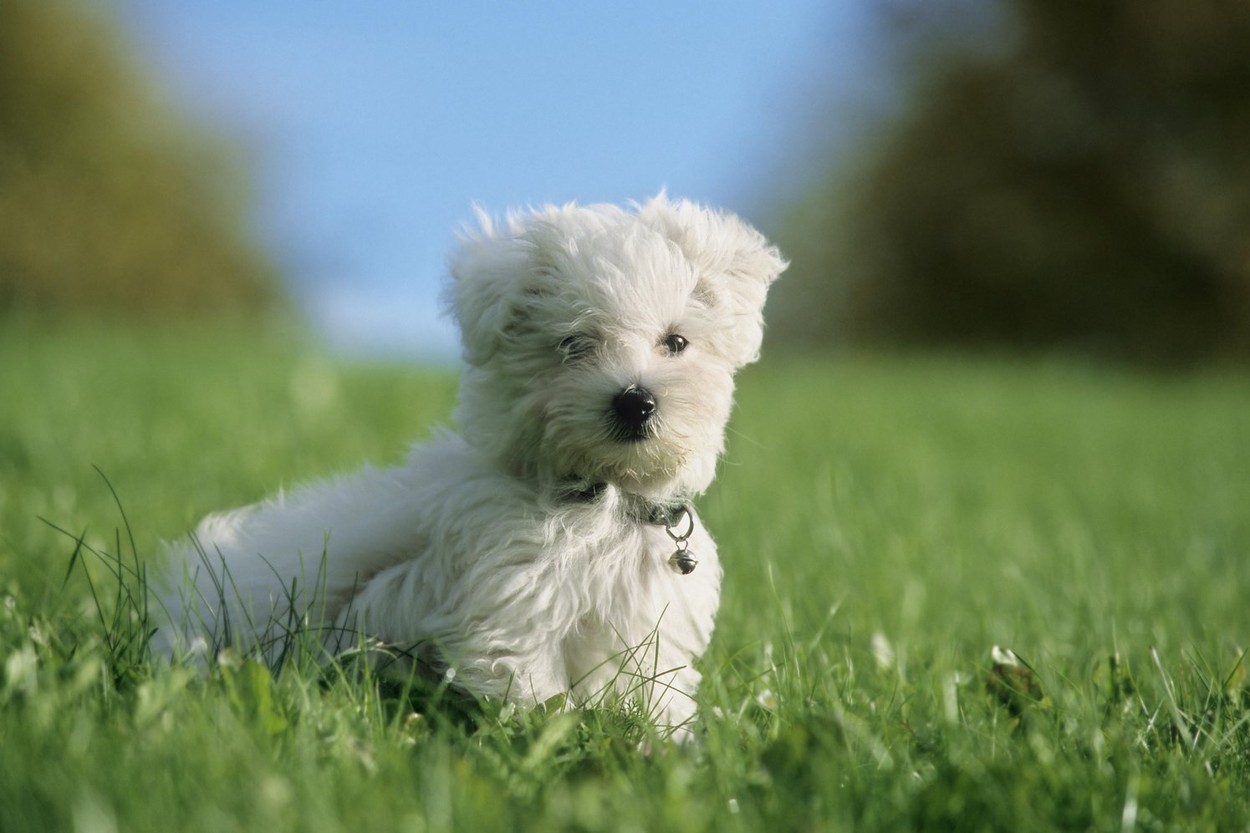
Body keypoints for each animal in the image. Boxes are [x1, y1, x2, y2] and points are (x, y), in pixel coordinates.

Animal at [156, 195, 780, 725]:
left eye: (676, 342)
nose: (635, 400)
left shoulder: (647, 632)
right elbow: (535, 697)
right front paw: (554, 739)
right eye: (572, 343)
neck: (599, 506)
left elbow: (653, 694)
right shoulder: (512, 613)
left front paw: (668, 743)